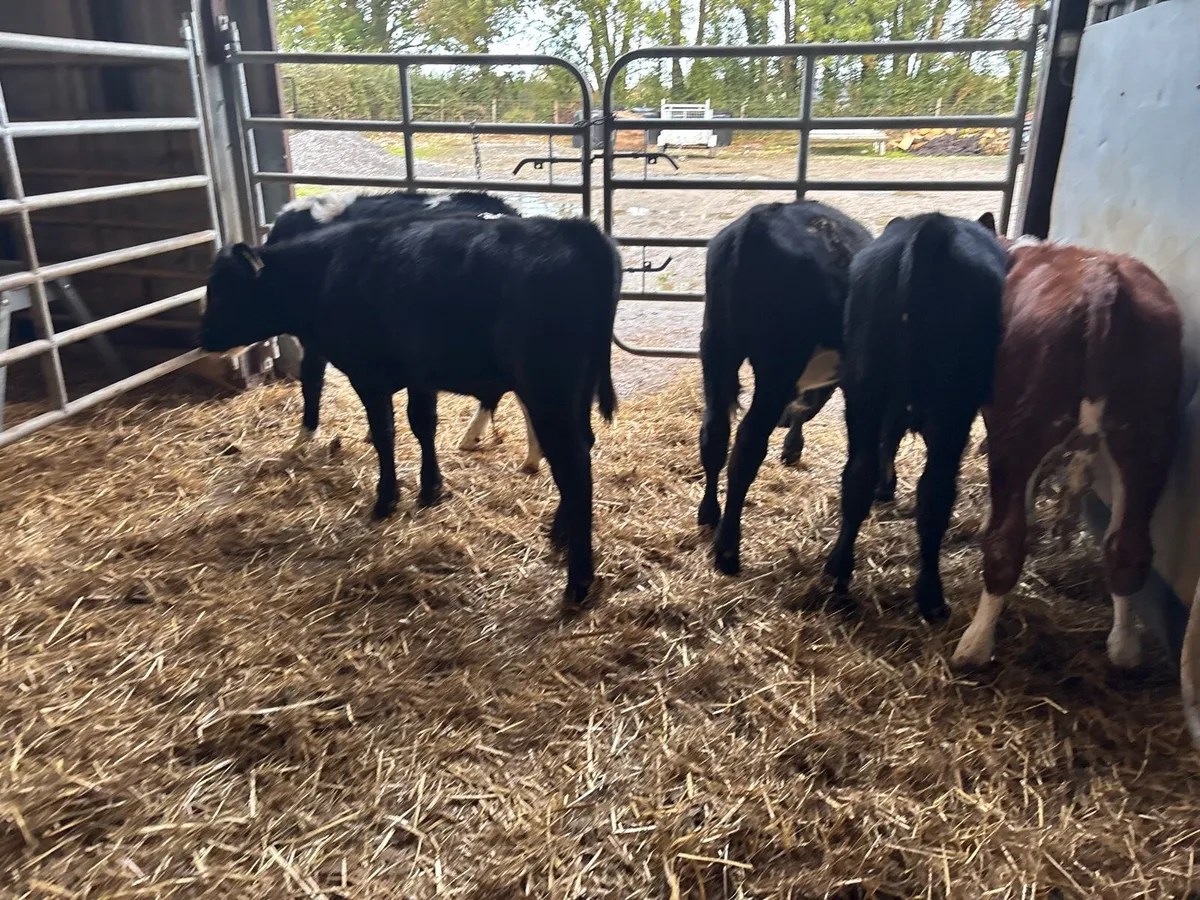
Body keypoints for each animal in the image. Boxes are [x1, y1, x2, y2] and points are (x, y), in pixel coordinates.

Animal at [697, 200, 873, 574]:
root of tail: (759, 220)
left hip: (717, 344)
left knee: (714, 433)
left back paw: (709, 514)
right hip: (778, 364)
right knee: (747, 445)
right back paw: (728, 549)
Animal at [825, 212, 1006, 623]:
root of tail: (933, 229)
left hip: (863, 389)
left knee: (858, 475)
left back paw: (839, 573)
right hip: (952, 408)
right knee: (935, 492)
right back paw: (931, 596)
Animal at [950, 238, 1185, 695]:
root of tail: (1104, 285)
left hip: (1021, 427)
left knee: (1005, 544)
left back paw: (974, 645)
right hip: (1147, 437)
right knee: (1128, 548)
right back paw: (1124, 650)